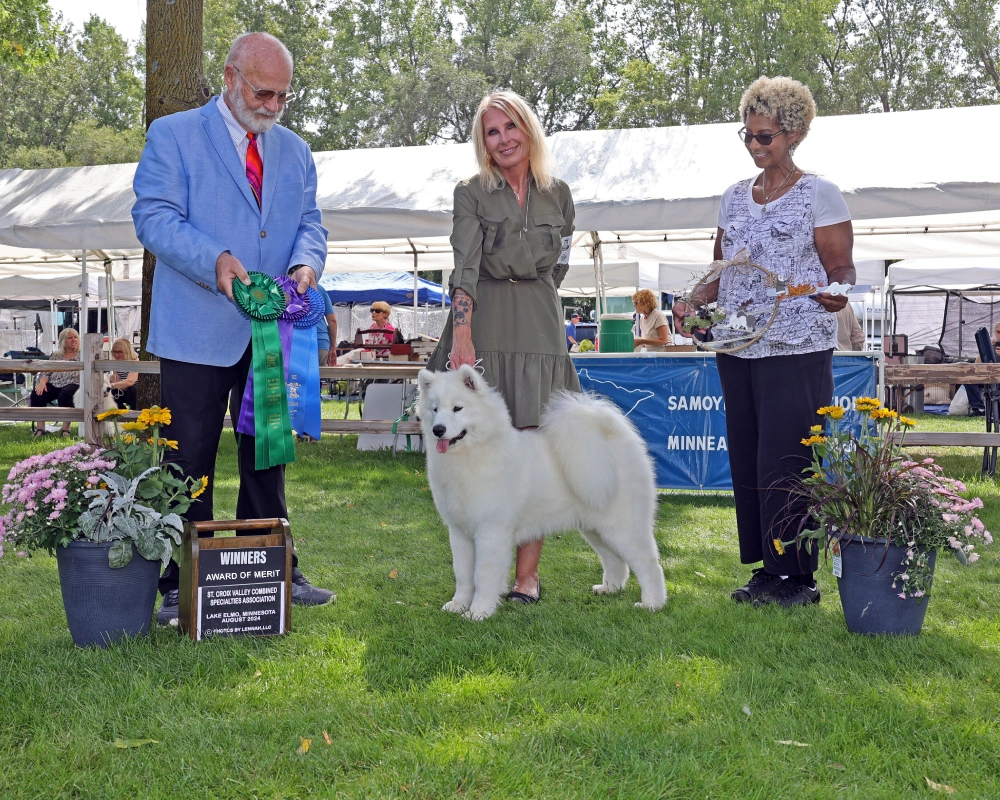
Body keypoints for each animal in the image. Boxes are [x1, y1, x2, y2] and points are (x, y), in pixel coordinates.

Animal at [418, 366, 668, 620]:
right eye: (435, 409)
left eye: (457, 408)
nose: (438, 430)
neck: (472, 455)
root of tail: (614, 437)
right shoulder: (460, 532)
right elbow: (463, 575)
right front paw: (458, 604)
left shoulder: (491, 532)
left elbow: (483, 576)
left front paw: (478, 612)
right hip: (595, 528)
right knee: (614, 560)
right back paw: (610, 589)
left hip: (622, 527)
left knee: (650, 565)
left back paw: (652, 604)